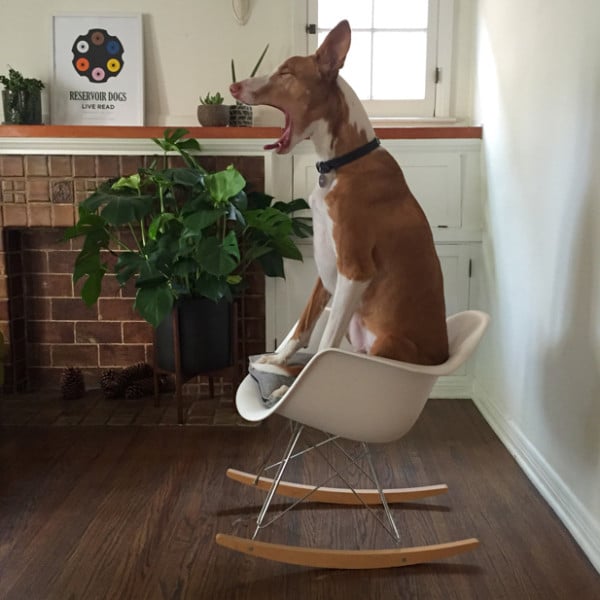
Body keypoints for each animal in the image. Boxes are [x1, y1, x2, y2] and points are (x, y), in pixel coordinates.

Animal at [232, 21, 448, 378]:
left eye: (286, 72)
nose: (233, 86)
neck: (341, 163)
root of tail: (442, 356)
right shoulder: (327, 265)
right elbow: (303, 325)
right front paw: (276, 360)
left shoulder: (355, 270)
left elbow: (324, 349)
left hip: (387, 343)